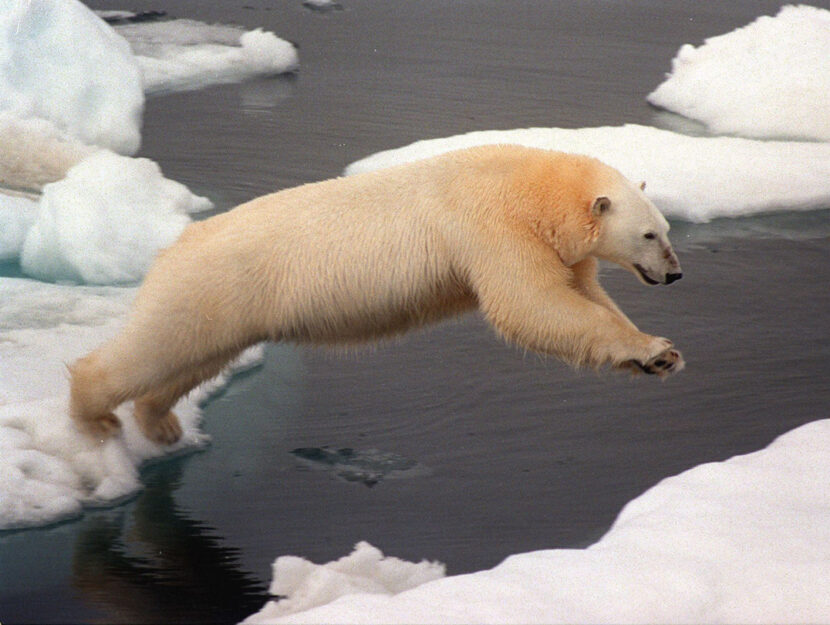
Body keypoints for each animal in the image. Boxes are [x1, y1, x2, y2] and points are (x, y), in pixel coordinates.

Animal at [70, 146, 684, 444]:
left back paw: (160, 422)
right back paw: (95, 416)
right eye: (649, 235)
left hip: (226, 306)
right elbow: (530, 304)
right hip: (211, 285)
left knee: (194, 359)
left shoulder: (557, 246)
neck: (534, 187)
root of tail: (171, 247)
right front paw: (654, 349)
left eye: (666, 229)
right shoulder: (491, 226)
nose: (676, 274)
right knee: (155, 347)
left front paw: (659, 355)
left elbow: (581, 295)